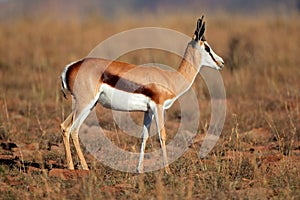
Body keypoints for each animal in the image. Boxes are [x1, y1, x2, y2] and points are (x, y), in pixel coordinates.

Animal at [61, 16, 224, 173]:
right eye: (207, 47)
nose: (221, 62)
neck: (171, 79)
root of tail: (70, 67)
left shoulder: (148, 111)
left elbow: (144, 137)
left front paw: (139, 169)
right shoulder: (158, 107)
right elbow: (162, 135)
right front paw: (167, 171)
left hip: (88, 105)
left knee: (68, 128)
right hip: (84, 103)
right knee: (71, 128)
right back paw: (78, 167)